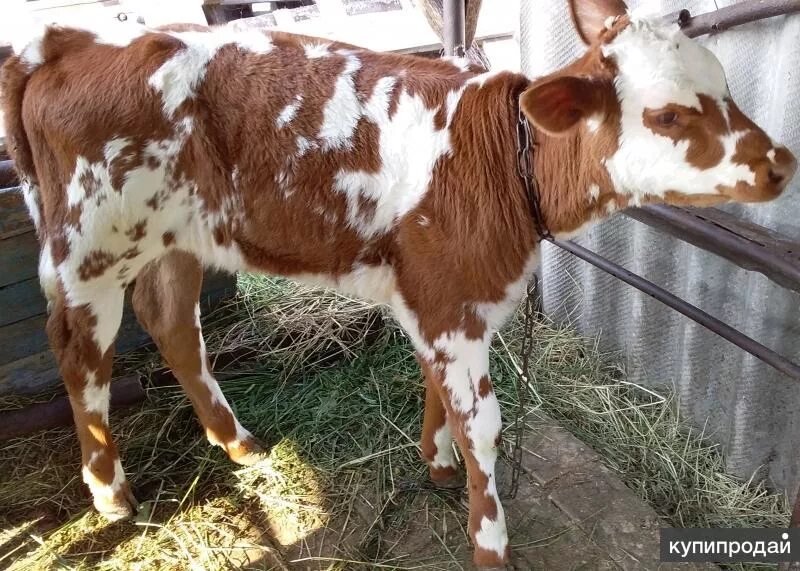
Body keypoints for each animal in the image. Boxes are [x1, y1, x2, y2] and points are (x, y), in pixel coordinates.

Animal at [3, 0, 796, 568]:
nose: (780, 163)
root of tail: (69, 35)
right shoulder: (450, 302)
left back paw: (238, 443)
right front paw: (489, 541)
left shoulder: (437, 299)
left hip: (174, 237)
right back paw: (110, 492)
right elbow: (484, 425)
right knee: (79, 351)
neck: (502, 159)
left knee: (170, 319)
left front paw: (437, 461)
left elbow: (433, 384)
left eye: (727, 87)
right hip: (90, 246)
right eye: (669, 114)